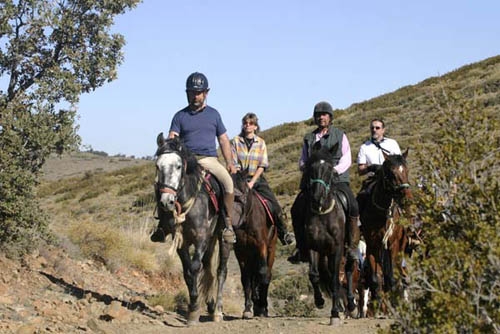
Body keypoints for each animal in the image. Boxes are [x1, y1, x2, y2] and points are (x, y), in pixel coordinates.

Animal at [154, 134, 232, 326]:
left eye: (178, 166)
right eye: (158, 166)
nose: (166, 201)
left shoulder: (201, 239)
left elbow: (195, 267)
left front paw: (195, 310)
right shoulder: (181, 241)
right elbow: (188, 272)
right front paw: (193, 307)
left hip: (222, 238)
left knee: (221, 271)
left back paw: (217, 312)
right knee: (209, 270)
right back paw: (210, 306)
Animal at [231, 171, 278, 320]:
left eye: (245, 192)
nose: (235, 221)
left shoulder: (261, 245)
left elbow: (262, 272)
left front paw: (261, 305)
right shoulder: (241, 251)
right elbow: (246, 278)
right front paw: (247, 308)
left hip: (271, 249)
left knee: (267, 274)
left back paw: (263, 306)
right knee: (253, 276)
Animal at [292, 146, 350, 326]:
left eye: (330, 168)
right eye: (311, 168)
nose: (317, 197)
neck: (322, 213)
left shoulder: (337, 249)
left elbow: (335, 279)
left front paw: (335, 314)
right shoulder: (313, 247)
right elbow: (314, 275)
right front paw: (319, 301)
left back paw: (350, 306)